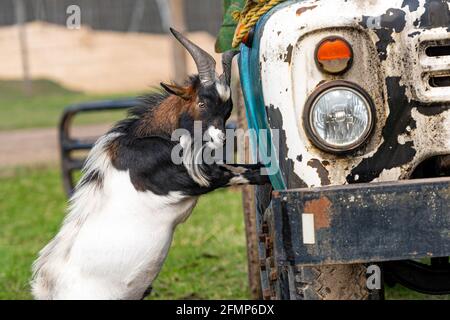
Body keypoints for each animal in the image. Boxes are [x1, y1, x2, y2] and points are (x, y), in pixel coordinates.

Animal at [32, 28, 270, 300]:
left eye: (228, 109)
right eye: (201, 103)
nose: (221, 139)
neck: (149, 137)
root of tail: (49, 291)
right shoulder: (190, 178)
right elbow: (243, 173)